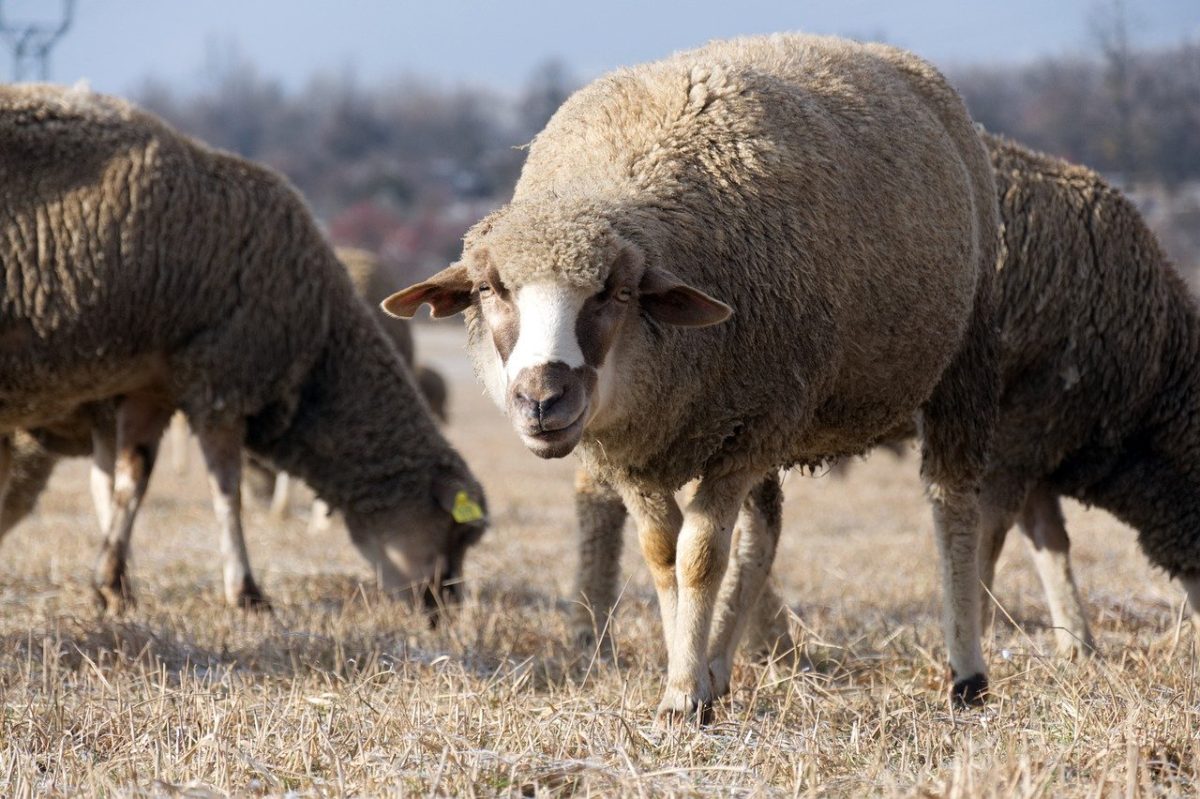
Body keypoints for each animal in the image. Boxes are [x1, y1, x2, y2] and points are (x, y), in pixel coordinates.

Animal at [0, 83, 489, 609]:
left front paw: (113, 586)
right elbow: (226, 491)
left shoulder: (150, 388)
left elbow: (131, 483)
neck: (322, 341)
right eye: (456, 533)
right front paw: (246, 591)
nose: (443, 609)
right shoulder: (223, 380)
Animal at [386, 32, 1003, 715]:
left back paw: (966, 674)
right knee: (762, 538)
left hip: (958, 365)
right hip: (772, 418)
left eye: (618, 293)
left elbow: (700, 557)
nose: (543, 399)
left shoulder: (739, 436)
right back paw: (719, 669)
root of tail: (872, 49)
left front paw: (682, 696)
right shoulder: (637, 450)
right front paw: (691, 675)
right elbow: (662, 554)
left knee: (952, 509)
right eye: (490, 289)